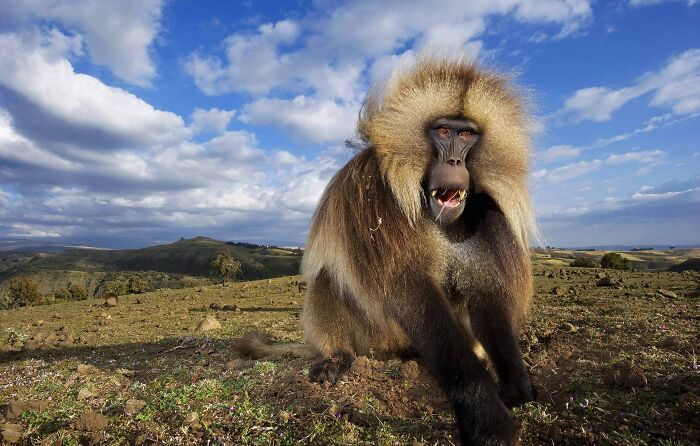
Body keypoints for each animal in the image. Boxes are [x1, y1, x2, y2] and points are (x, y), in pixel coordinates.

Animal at [236, 55, 537, 445]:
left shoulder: (485, 211)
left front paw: (516, 387)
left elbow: (485, 293)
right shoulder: (374, 195)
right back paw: (337, 358)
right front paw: (486, 414)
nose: (455, 164)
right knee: (328, 277)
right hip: (377, 338)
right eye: (443, 131)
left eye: (467, 135)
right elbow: (408, 290)